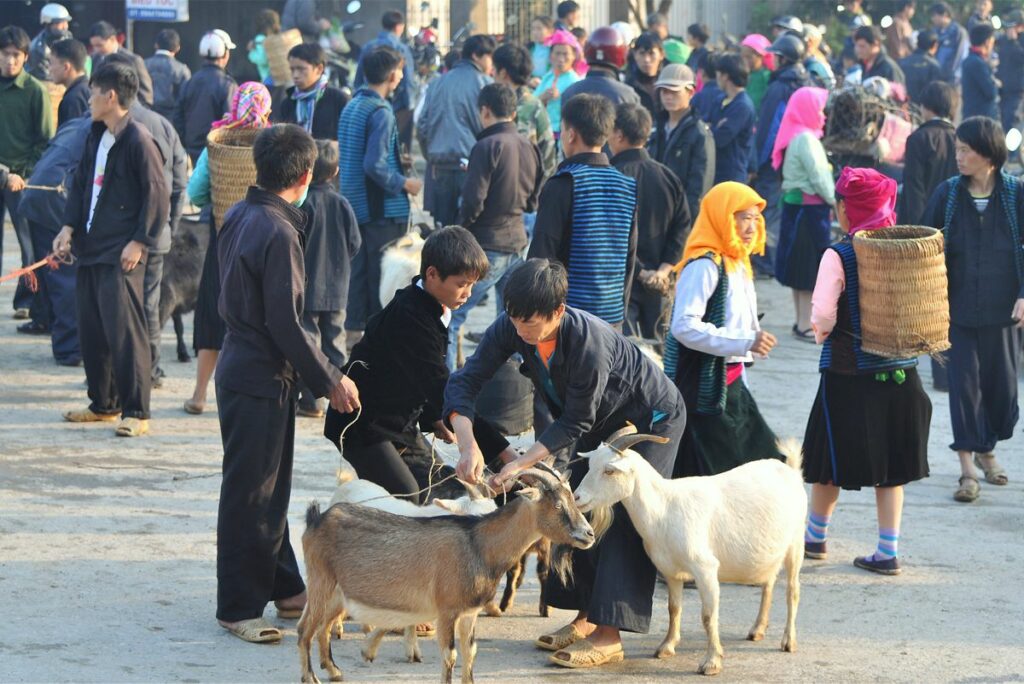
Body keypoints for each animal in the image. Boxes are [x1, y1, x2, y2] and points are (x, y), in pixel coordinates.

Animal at [296, 466, 593, 679]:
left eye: (572, 499)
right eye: (557, 505)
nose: (588, 534)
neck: (478, 545)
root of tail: (317, 519)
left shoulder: (469, 613)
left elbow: (470, 652)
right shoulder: (447, 611)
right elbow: (450, 656)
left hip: (337, 593)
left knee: (322, 627)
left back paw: (334, 671)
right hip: (321, 583)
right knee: (304, 630)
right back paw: (311, 677)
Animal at [573, 430, 802, 675]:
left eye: (609, 470)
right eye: (590, 464)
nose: (577, 498)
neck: (664, 509)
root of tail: (791, 470)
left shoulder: (705, 568)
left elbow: (708, 616)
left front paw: (712, 662)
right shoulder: (670, 570)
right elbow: (673, 608)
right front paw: (666, 647)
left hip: (796, 544)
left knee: (792, 591)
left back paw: (789, 641)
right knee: (768, 582)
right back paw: (757, 629)